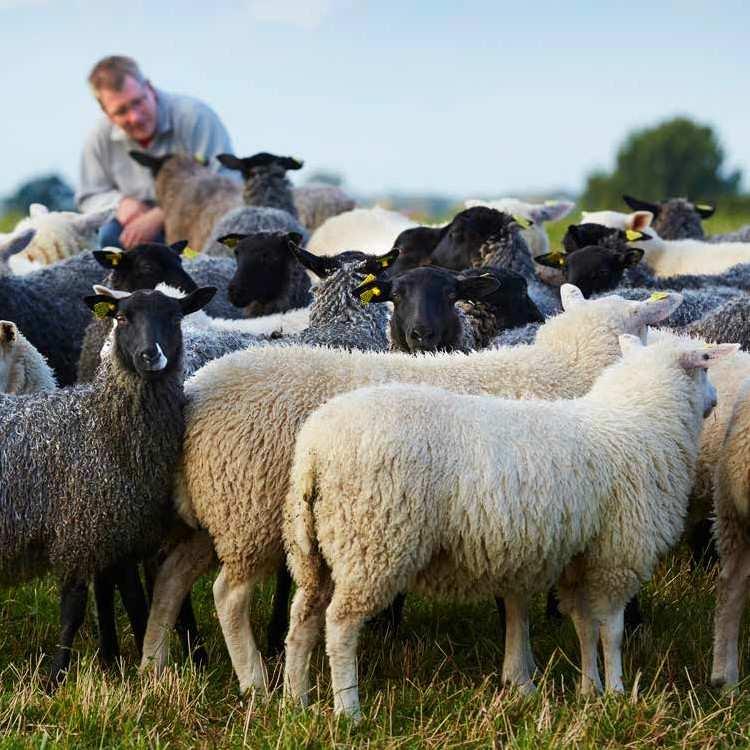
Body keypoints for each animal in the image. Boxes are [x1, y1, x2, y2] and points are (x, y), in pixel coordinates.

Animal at [141, 286, 688, 692]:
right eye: (644, 326)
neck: (572, 369)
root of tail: (197, 392)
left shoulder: (517, 519)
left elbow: (515, 600)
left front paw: (519, 678)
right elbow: (519, 603)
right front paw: (525, 676)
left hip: (210, 513)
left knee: (169, 579)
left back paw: (153, 664)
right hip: (247, 512)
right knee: (228, 595)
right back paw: (253, 680)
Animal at [284, 338, 736, 720]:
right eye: (705, 367)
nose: (717, 400)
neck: (639, 422)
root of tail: (314, 448)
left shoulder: (579, 556)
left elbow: (584, 626)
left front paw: (589, 690)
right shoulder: (619, 552)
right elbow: (611, 629)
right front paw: (618, 693)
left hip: (317, 546)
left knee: (303, 617)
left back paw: (296, 699)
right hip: (372, 541)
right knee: (340, 625)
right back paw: (349, 711)